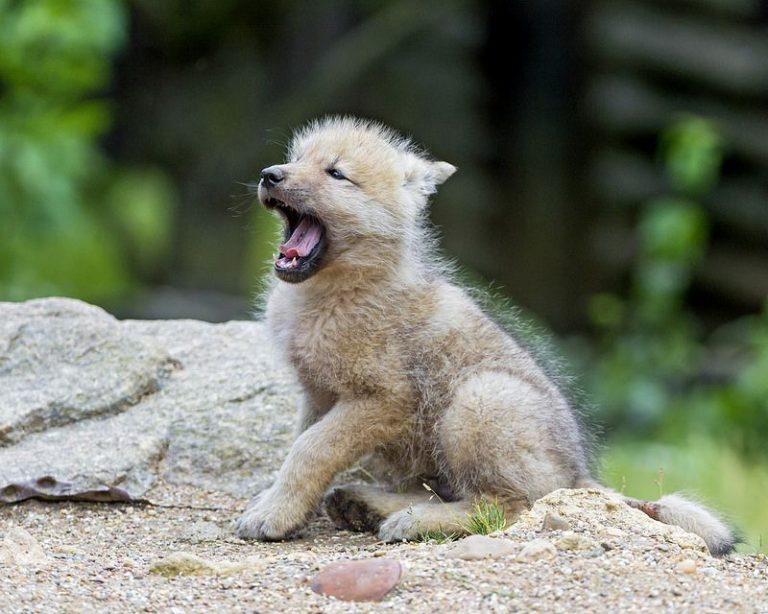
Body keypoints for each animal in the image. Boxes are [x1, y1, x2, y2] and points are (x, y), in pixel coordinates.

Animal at [235, 116, 735, 555]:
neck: (330, 295)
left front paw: (272, 515)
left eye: (336, 173)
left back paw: (411, 521)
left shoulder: (381, 399)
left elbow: (310, 450)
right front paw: (279, 504)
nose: (268, 175)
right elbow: (300, 448)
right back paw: (367, 504)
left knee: (506, 506)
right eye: (296, 158)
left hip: (479, 399)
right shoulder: (317, 394)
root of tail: (578, 477)